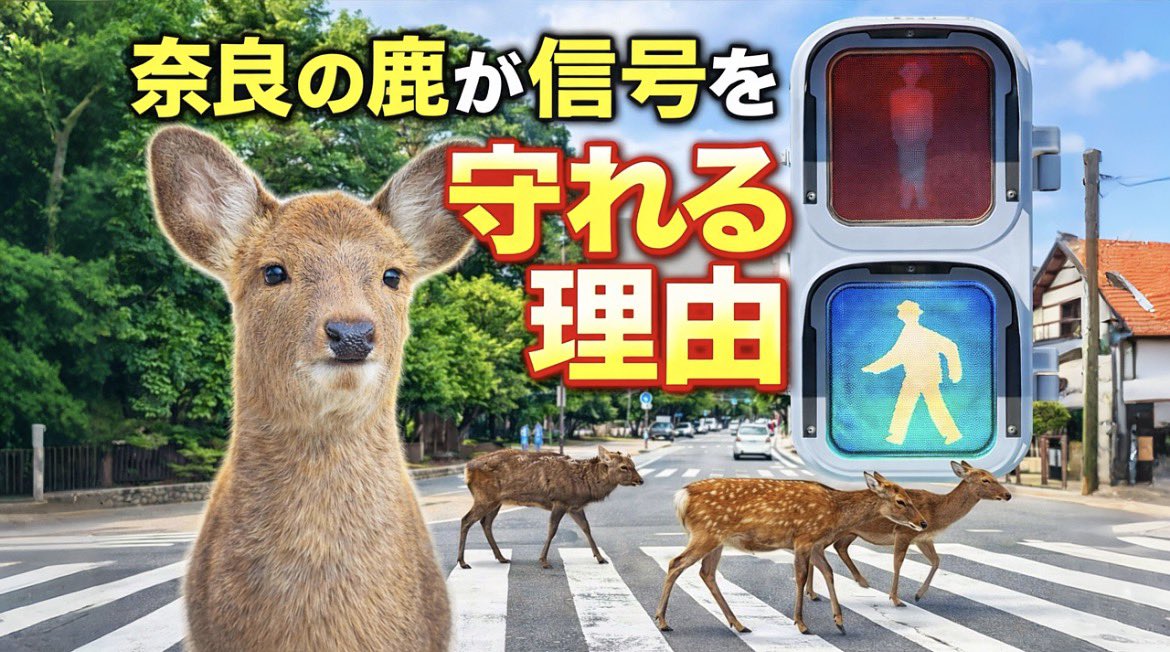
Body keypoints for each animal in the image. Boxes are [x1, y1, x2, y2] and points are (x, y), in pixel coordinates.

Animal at [457, 446, 644, 570]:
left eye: (633, 464)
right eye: (624, 467)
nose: (640, 480)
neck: (585, 486)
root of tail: (466, 468)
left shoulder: (574, 506)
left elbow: (586, 528)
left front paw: (600, 558)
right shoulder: (560, 501)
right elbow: (552, 529)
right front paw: (544, 560)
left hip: (496, 501)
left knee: (485, 522)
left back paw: (501, 557)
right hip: (485, 497)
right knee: (466, 519)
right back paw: (463, 562)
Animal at [655, 473, 927, 636]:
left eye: (910, 498)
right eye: (901, 501)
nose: (923, 523)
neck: (835, 513)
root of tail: (682, 496)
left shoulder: (816, 544)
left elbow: (829, 572)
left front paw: (839, 621)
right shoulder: (804, 537)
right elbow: (801, 576)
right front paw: (802, 624)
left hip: (717, 539)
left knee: (706, 572)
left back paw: (739, 624)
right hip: (705, 533)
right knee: (676, 563)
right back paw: (662, 621)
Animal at [804, 460, 1012, 607]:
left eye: (993, 475)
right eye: (985, 479)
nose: (1008, 495)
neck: (937, 513)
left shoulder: (922, 538)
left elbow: (936, 561)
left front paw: (918, 595)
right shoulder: (904, 532)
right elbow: (898, 563)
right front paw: (896, 599)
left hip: (848, 533)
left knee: (837, 548)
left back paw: (850, 584)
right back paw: (815, 593)